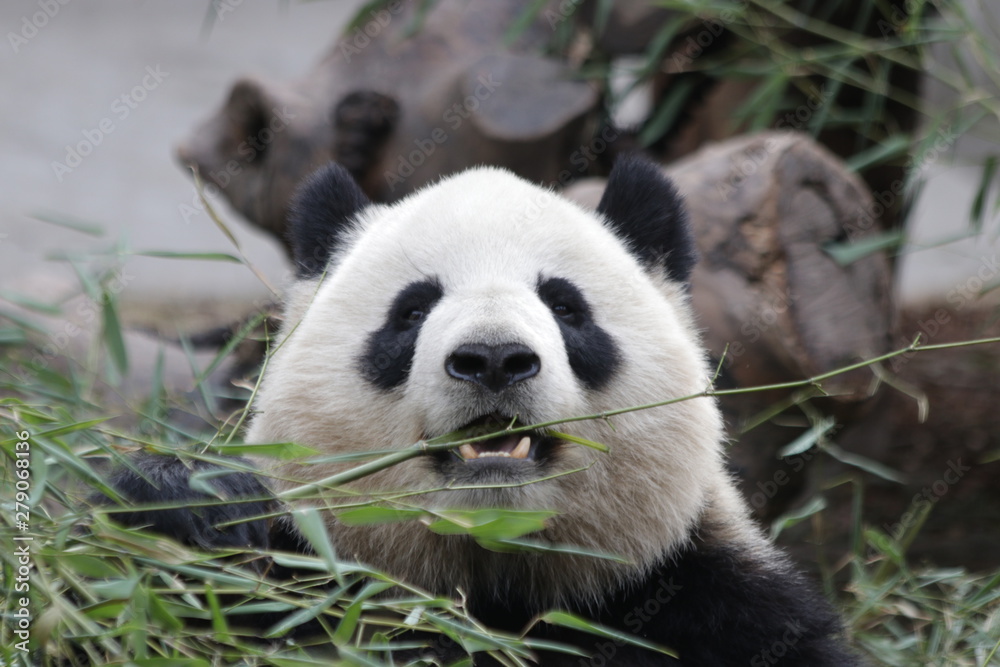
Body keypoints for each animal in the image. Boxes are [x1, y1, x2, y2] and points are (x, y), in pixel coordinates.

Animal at [107, 156, 859, 665]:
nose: (494, 358)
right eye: (412, 310)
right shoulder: (320, 575)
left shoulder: (702, 596)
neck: (491, 575)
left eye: (565, 306)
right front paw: (194, 502)